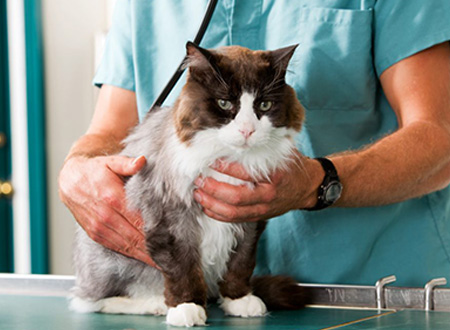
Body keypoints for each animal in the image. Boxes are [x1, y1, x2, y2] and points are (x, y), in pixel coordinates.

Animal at [70, 42, 306, 328]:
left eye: (264, 104)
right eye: (224, 103)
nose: (247, 130)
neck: (228, 158)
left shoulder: (249, 219)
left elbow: (240, 263)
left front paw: (238, 299)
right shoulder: (171, 219)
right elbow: (182, 269)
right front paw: (186, 307)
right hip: (112, 262)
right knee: (91, 301)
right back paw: (154, 304)